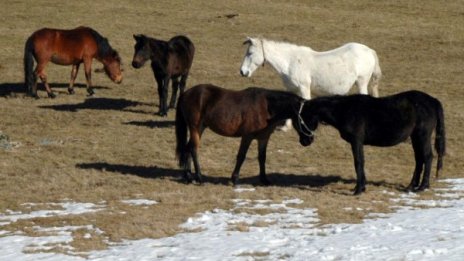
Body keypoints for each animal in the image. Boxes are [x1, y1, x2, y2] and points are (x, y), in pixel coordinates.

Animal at [239, 36, 380, 129]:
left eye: (250, 53)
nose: (242, 72)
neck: (290, 62)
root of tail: (369, 50)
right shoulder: (293, 90)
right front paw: (286, 127)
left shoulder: (304, 88)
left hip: (362, 82)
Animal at [294, 90, 446, 194]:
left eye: (302, 119)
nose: (304, 141)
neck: (345, 110)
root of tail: (432, 100)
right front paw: (359, 187)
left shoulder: (356, 141)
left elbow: (358, 162)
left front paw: (359, 189)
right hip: (415, 137)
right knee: (419, 159)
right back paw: (411, 186)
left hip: (422, 136)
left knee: (427, 157)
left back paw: (422, 186)